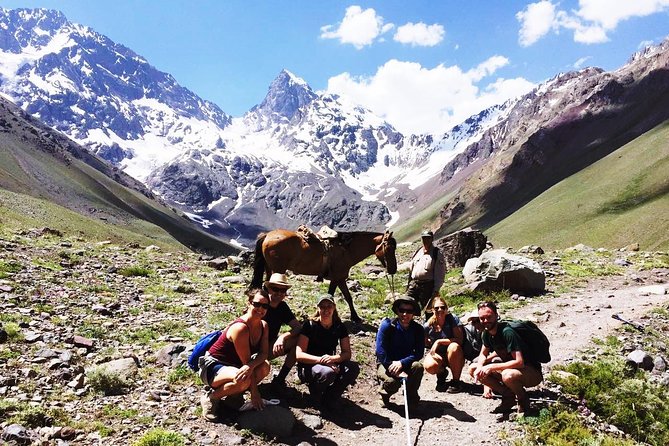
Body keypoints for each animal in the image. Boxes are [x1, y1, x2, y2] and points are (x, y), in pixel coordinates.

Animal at [250, 230, 396, 320]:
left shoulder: (340, 279)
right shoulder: (337, 278)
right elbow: (331, 296)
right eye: (389, 248)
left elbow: (348, 297)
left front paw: (355, 317)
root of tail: (267, 235)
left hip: (270, 269)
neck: (346, 250)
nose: (393, 269)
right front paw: (317, 314)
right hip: (277, 269)